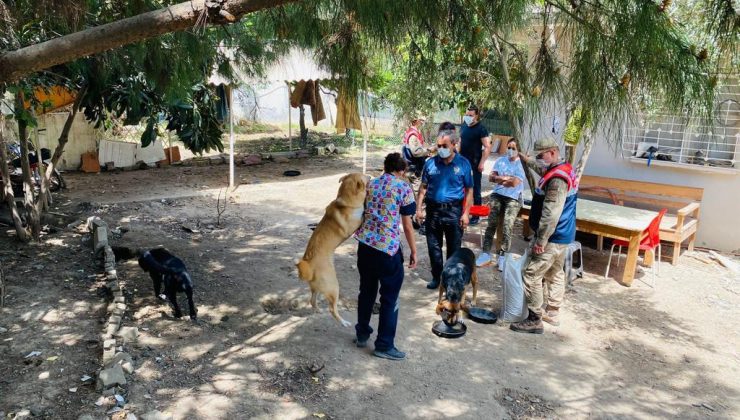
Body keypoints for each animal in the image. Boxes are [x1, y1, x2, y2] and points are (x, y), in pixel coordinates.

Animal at [296, 172, 368, 326]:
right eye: (365, 176)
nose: (371, 175)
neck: (346, 202)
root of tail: (309, 266)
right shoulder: (355, 225)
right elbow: (363, 216)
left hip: (317, 287)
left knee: (312, 300)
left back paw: (318, 310)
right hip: (334, 287)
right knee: (332, 309)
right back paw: (344, 322)